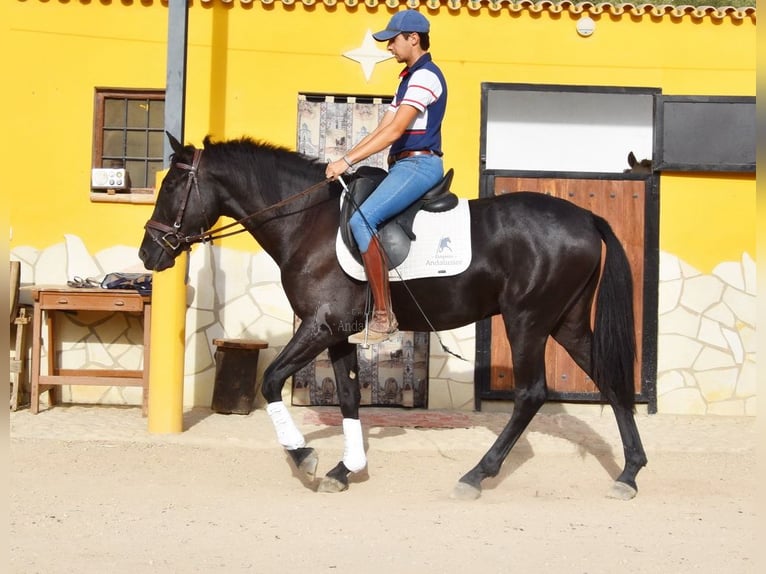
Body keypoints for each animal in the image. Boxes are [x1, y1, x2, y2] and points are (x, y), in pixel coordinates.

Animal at [140, 134, 648, 500]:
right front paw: (345, 469)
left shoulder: (320, 325)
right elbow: (347, 397)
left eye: (171, 187)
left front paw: (304, 456)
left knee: (531, 394)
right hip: (566, 323)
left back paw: (476, 475)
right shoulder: (337, 333)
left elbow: (270, 381)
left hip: (528, 321)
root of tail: (585, 217)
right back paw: (628, 474)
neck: (306, 221)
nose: (149, 253)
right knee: (609, 379)